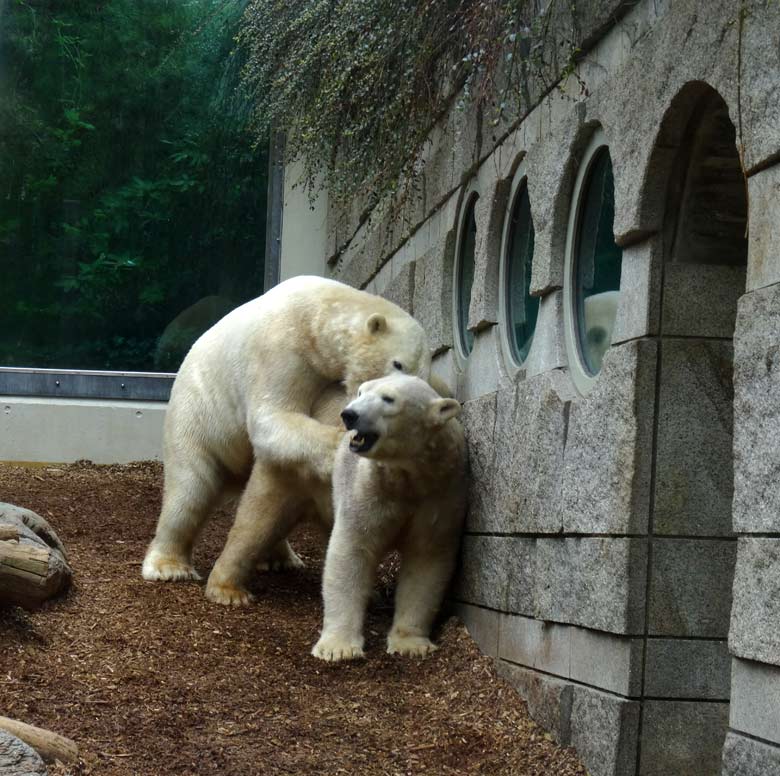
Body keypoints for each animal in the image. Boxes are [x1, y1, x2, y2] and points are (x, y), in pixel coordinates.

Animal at [141, 276, 432, 596]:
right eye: (398, 364)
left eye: (421, 376)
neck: (316, 311)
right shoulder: (281, 349)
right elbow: (271, 417)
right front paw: (341, 444)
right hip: (196, 418)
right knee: (191, 488)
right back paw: (168, 565)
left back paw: (281, 558)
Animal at [312, 374, 470, 660]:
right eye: (361, 392)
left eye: (388, 398)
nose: (349, 414)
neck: (407, 477)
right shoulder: (368, 490)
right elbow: (351, 551)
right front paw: (338, 647)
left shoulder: (442, 494)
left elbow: (426, 560)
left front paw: (411, 645)